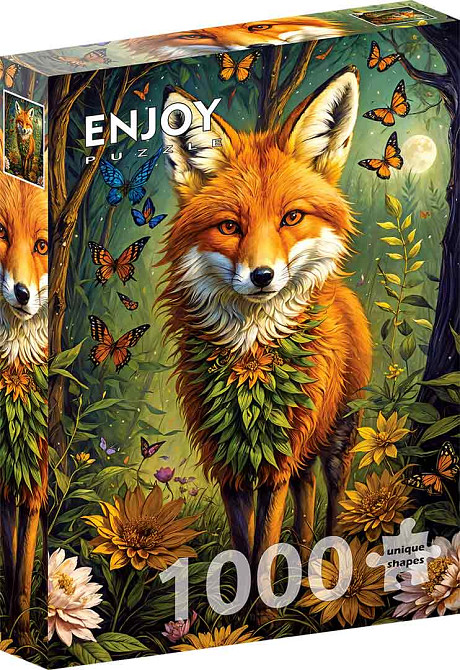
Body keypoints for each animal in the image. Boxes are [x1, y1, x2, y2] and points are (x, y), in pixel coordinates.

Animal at [159, 65, 372, 619]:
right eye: (230, 226)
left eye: (291, 217)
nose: (261, 276)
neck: (252, 365)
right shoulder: (230, 462)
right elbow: (244, 546)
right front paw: (236, 617)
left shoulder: (277, 459)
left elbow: (265, 545)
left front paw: (263, 617)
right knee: (305, 497)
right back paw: (304, 569)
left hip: (337, 436)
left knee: (331, 499)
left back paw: (329, 572)